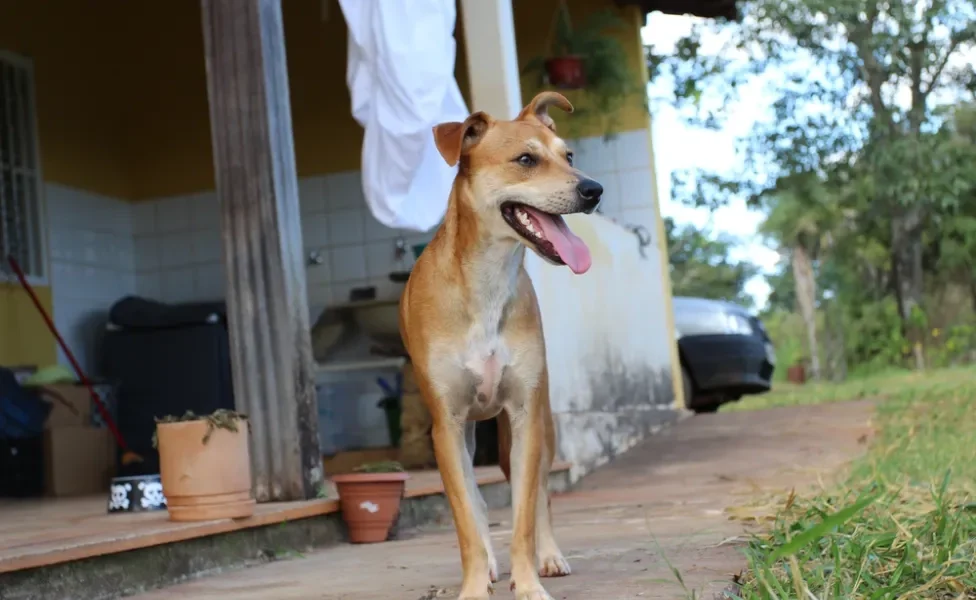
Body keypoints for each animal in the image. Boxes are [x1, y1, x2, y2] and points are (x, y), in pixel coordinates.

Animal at [398, 90, 604, 600]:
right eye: (525, 160)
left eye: (569, 156)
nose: (594, 190)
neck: (487, 281)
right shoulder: (446, 427)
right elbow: (467, 519)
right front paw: (475, 585)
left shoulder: (524, 415)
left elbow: (525, 514)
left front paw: (528, 583)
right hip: (469, 436)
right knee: (475, 497)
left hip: (538, 425)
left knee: (541, 497)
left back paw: (549, 556)